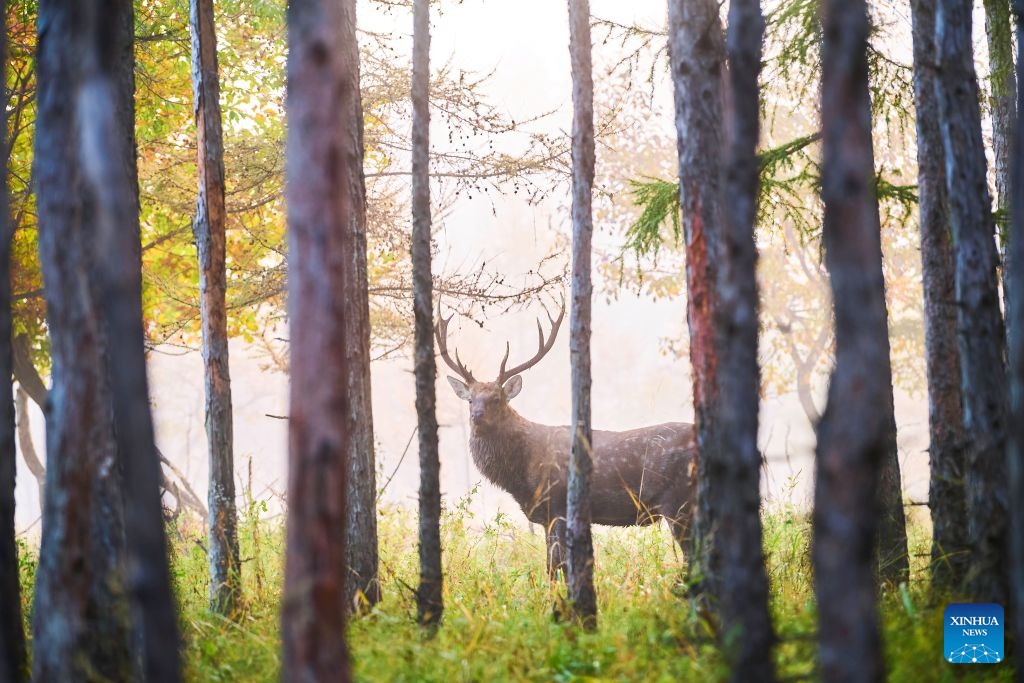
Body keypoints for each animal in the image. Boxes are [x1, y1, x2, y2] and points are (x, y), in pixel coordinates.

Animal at [436, 300, 696, 580]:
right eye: (470, 399)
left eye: (496, 399)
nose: (476, 416)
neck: (520, 473)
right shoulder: (545, 515)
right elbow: (552, 565)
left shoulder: (558, 504)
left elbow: (555, 566)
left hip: (677, 501)